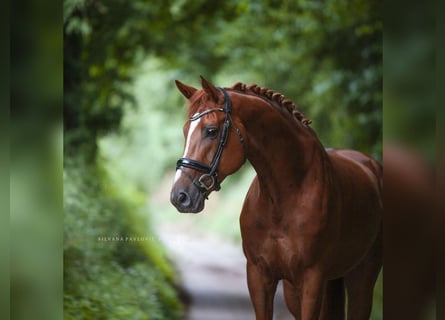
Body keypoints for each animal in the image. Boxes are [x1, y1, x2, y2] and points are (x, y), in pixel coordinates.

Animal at [170, 77, 382, 320]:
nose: (180, 196)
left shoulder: (312, 279)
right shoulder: (259, 275)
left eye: (211, 131)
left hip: (361, 277)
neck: (283, 197)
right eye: (186, 130)